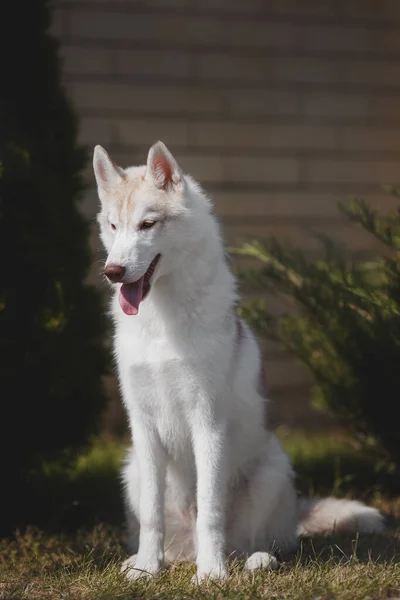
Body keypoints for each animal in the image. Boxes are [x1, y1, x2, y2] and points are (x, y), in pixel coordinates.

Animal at [93, 142, 384, 580]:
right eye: (114, 226)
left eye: (147, 224)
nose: (113, 271)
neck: (162, 323)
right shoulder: (143, 428)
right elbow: (152, 519)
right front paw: (146, 569)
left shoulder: (208, 424)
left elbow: (211, 511)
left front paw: (211, 576)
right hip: (132, 469)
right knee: (174, 537)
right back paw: (149, 561)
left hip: (272, 470)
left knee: (253, 545)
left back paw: (250, 561)